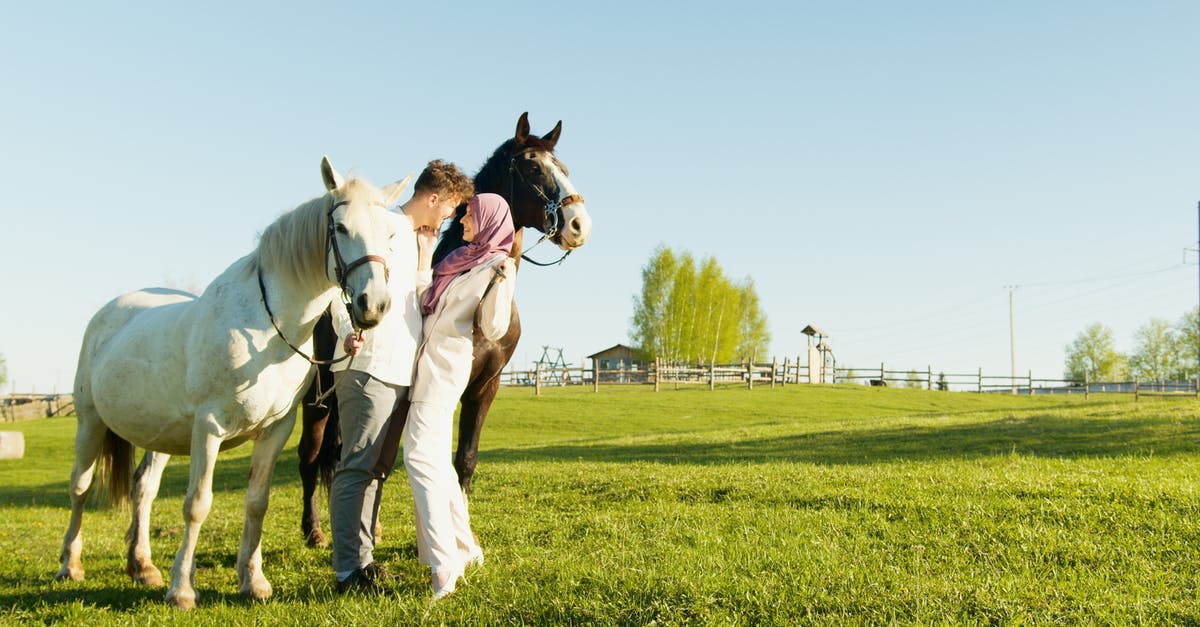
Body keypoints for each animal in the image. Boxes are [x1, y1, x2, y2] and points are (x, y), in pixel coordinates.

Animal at [57, 157, 410, 610]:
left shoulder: (275, 430)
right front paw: (183, 590)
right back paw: (71, 564)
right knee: (80, 488)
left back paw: (142, 566)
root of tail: (109, 313)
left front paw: (253, 581)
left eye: (390, 235)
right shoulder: (209, 427)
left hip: (161, 436)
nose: (374, 305)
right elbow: (197, 504)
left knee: (143, 490)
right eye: (341, 227)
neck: (265, 329)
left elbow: (257, 502)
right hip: (90, 423)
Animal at [297, 112, 591, 546]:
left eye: (565, 169)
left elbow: (465, 459)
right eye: (533, 168)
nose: (578, 224)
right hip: (317, 399)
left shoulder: (486, 386)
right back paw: (315, 529)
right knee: (312, 455)